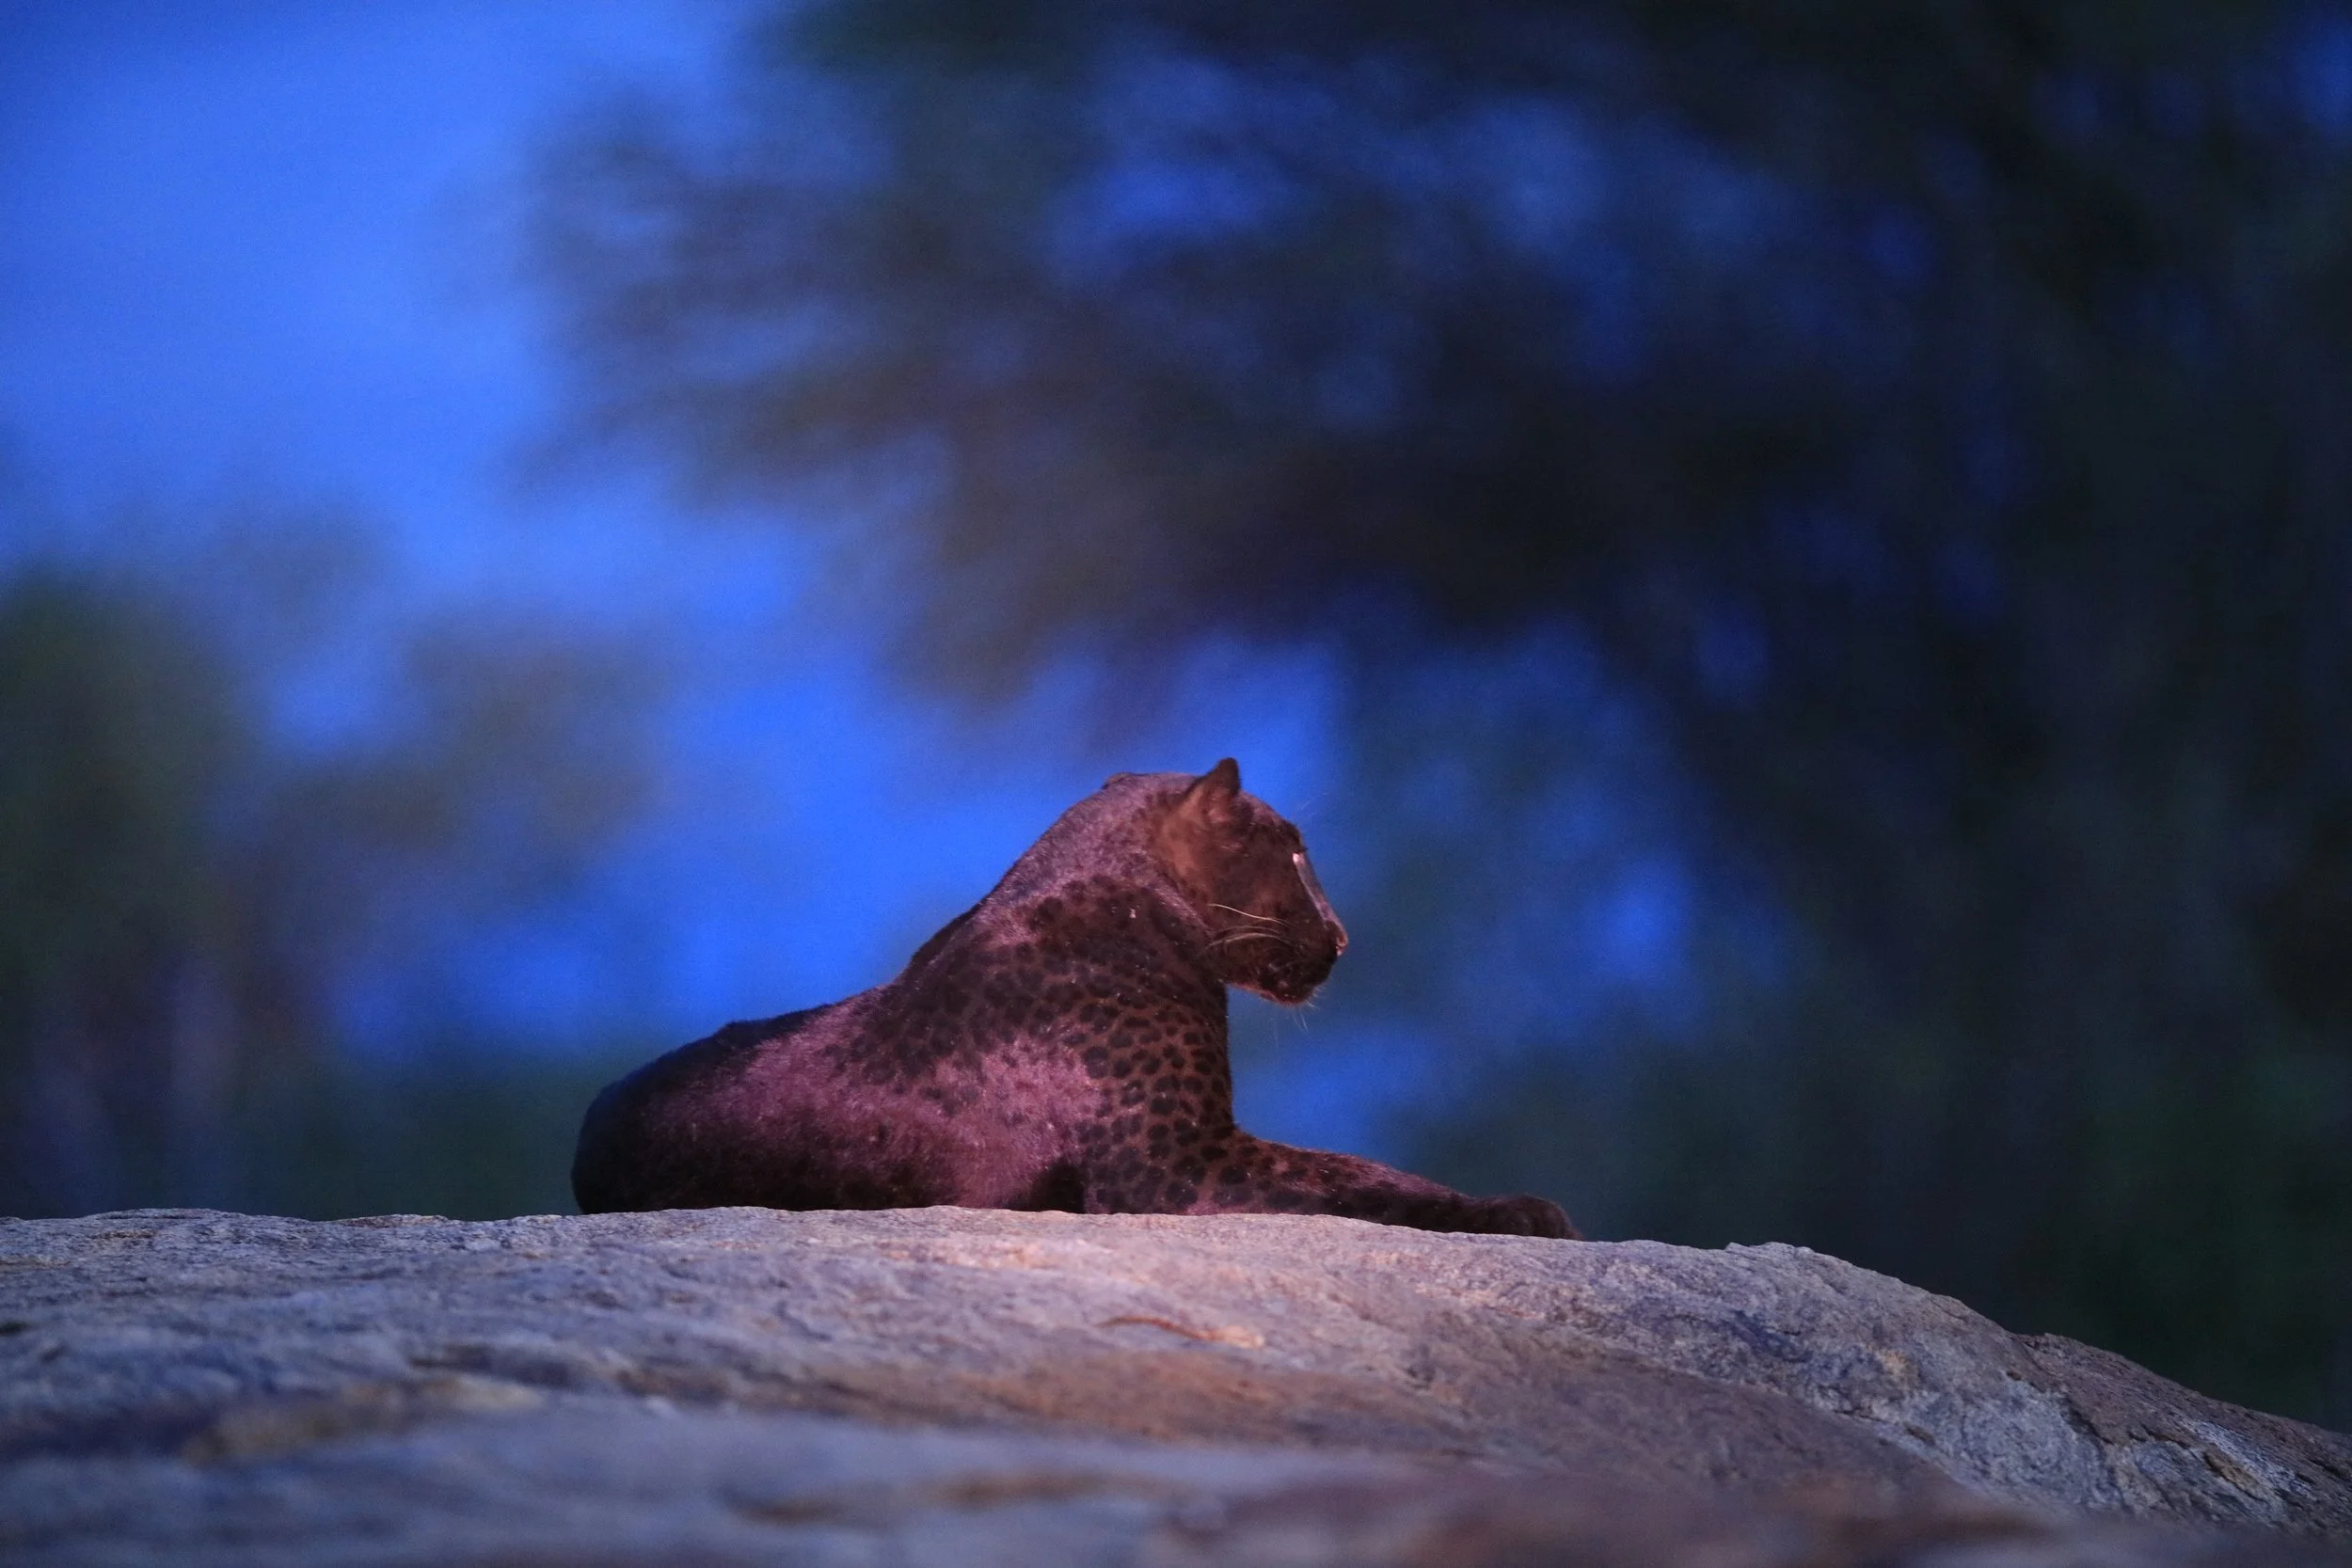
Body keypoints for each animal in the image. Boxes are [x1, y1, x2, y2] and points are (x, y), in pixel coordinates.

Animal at [570, 759, 1577, 1238]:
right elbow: (1356, 1174)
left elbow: (1354, 1171)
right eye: (1292, 852)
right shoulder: (1174, 1162)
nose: (1342, 936)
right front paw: (1524, 1210)